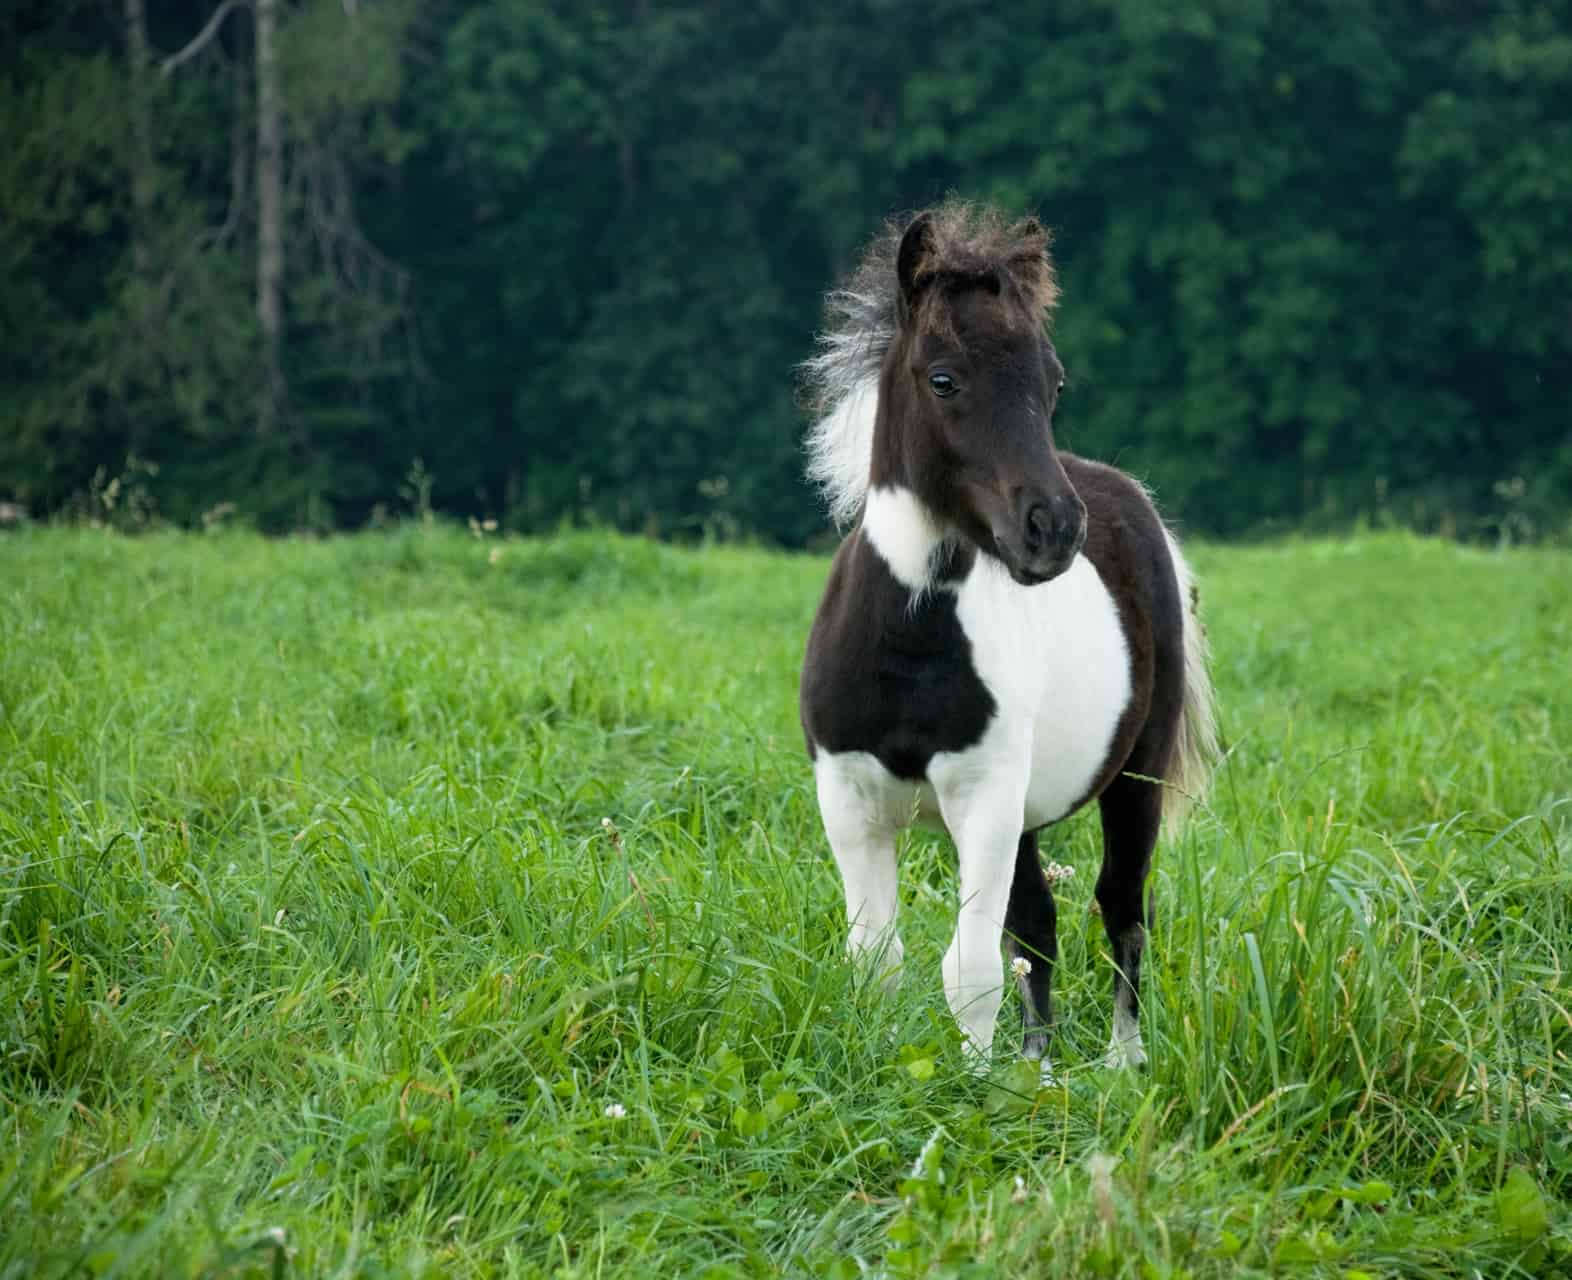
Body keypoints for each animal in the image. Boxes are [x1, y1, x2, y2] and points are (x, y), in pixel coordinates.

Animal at [798, 205, 1213, 1075]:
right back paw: (1039, 1062)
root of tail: (1128, 496)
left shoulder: (982, 798)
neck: (908, 649)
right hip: (1023, 815)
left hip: (1135, 778)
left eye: (1052, 382)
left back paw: (1122, 1062)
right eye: (942, 378)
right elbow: (878, 961)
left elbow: (973, 967)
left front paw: (977, 1086)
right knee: (1041, 923)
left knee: (1122, 906)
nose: (1052, 530)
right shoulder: (849, 803)